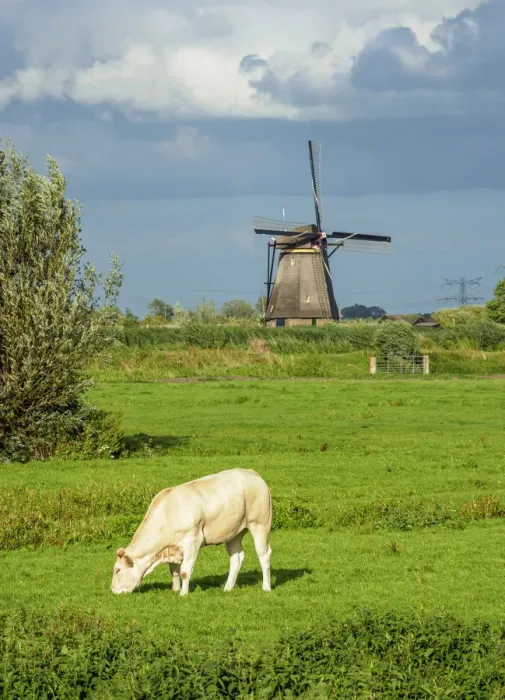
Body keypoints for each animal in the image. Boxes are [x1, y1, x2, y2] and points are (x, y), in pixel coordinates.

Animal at [111, 468, 272, 596]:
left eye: (117, 570)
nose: (112, 590)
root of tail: (252, 473)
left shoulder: (192, 541)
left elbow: (184, 571)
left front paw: (183, 593)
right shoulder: (172, 547)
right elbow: (174, 571)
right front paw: (175, 589)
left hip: (260, 524)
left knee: (263, 555)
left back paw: (266, 587)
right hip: (233, 533)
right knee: (236, 558)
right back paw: (228, 588)